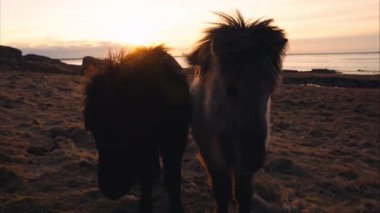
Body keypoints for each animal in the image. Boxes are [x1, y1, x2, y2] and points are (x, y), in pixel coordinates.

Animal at [83, 45, 190, 212]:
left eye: (130, 129)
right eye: (93, 129)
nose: (110, 189)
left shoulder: (175, 139)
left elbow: (174, 177)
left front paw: (176, 205)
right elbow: (146, 179)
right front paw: (145, 206)